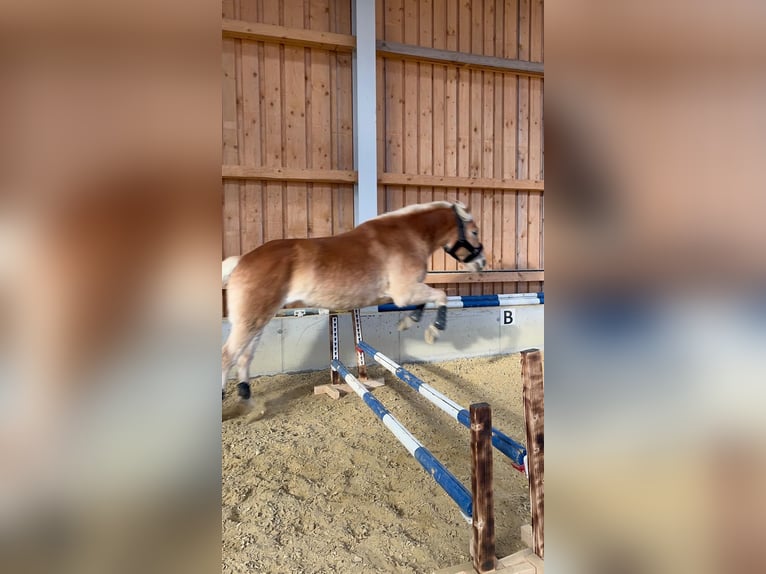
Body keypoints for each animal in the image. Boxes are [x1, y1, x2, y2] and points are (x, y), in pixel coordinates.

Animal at [222, 202, 486, 410]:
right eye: (474, 231)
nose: (482, 263)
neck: (408, 235)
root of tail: (242, 260)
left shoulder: (405, 293)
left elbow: (425, 301)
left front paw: (408, 322)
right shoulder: (404, 292)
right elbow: (440, 296)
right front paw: (433, 331)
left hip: (259, 319)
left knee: (244, 358)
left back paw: (248, 401)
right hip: (252, 318)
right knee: (228, 356)